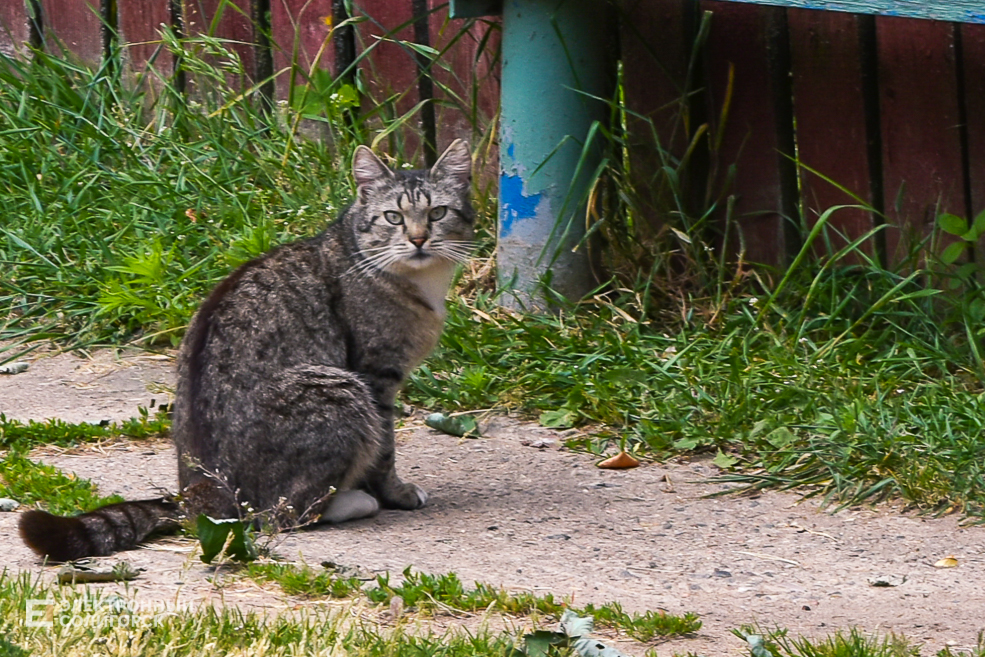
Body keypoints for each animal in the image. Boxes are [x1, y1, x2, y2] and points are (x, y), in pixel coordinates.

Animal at [18, 141, 472, 560]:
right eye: (394, 217)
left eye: (437, 213)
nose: (418, 239)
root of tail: (198, 496)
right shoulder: (378, 374)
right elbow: (385, 450)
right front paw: (394, 492)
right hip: (337, 389)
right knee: (281, 514)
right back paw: (352, 501)